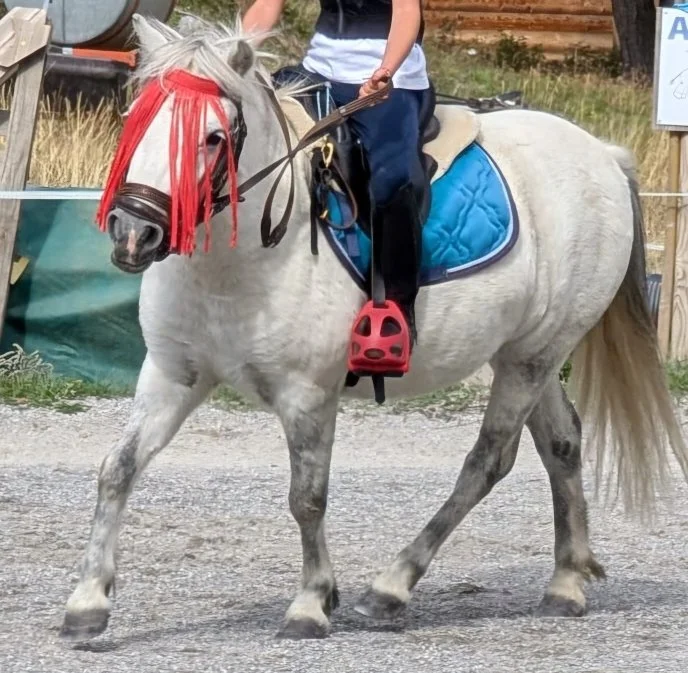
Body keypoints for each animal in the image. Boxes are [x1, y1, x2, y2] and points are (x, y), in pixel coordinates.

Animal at [59, 13, 688, 641]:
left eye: (213, 137)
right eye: (135, 120)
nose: (133, 233)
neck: (244, 259)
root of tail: (600, 153)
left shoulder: (308, 393)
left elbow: (307, 498)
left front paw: (310, 603)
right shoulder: (173, 375)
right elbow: (117, 468)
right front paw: (87, 602)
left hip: (532, 357)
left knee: (488, 461)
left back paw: (393, 586)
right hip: (525, 352)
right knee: (561, 443)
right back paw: (566, 582)